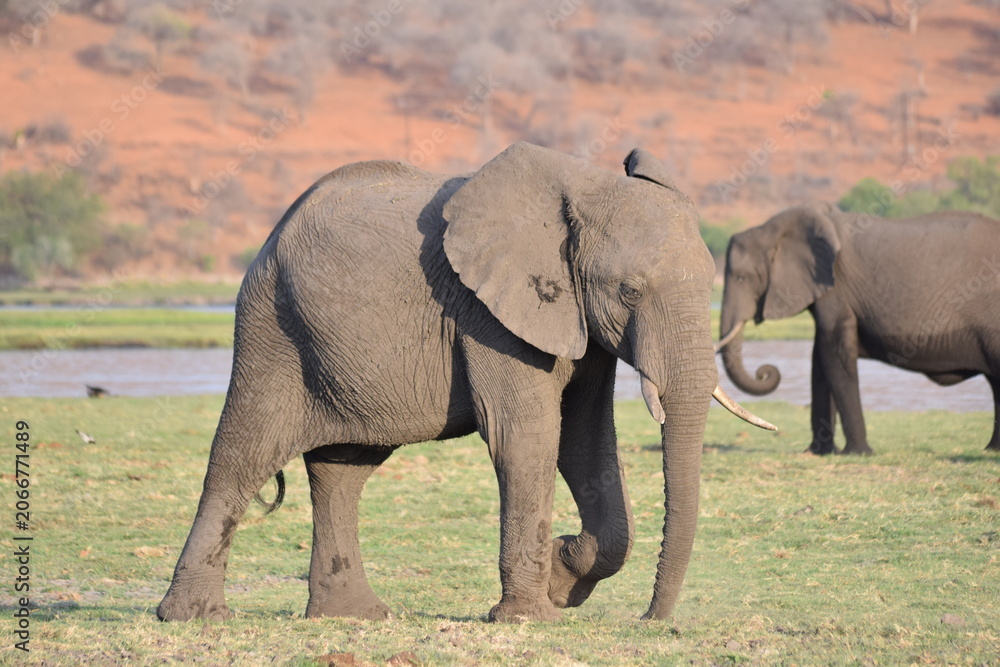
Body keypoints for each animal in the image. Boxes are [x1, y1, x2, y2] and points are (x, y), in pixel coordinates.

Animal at [157, 142, 774, 625]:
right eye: (629, 291)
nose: (649, 620)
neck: (581, 185)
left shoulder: (577, 321)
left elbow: (586, 443)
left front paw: (561, 577)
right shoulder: (489, 314)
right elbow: (526, 439)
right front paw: (532, 614)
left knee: (342, 470)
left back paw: (354, 616)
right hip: (272, 328)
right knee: (244, 453)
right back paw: (194, 618)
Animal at [717, 201, 1000, 455]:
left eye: (742, 278)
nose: (765, 372)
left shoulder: (836, 287)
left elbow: (835, 355)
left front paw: (858, 453)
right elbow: (821, 358)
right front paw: (818, 453)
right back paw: (992, 450)